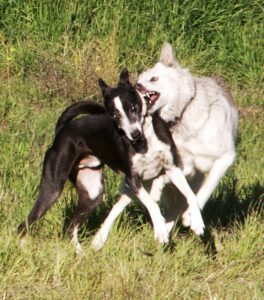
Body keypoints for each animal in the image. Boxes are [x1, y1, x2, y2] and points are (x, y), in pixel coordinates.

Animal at [18, 69, 204, 252]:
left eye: (133, 107)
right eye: (115, 114)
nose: (134, 135)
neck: (146, 141)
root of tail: (61, 132)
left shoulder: (172, 168)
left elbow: (191, 195)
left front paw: (197, 222)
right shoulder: (132, 179)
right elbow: (152, 204)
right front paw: (160, 231)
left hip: (93, 193)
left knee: (70, 226)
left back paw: (81, 254)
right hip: (53, 188)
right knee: (25, 224)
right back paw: (22, 247)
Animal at [92, 42, 238, 248]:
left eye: (153, 78)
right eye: (138, 80)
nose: (136, 85)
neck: (182, 115)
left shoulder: (224, 158)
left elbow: (206, 188)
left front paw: (191, 217)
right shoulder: (181, 163)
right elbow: (167, 181)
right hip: (131, 186)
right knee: (118, 208)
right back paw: (101, 237)